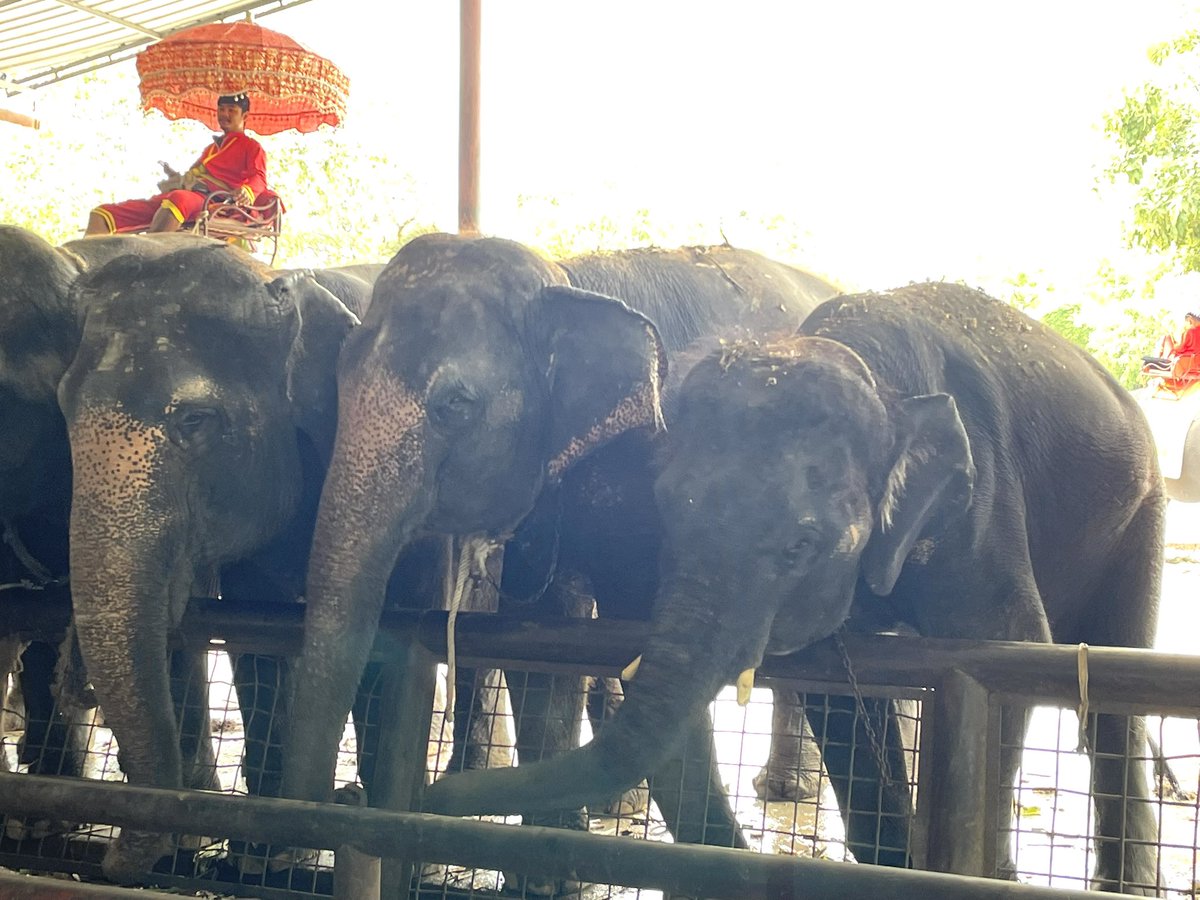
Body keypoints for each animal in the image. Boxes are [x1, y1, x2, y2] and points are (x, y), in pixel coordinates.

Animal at [56, 242, 371, 883]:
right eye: (62, 413)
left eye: (194, 421)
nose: (112, 859)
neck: (275, 278)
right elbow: (259, 628)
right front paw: (256, 854)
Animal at [422, 281, 1165, 895]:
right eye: (663, 512)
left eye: (801, 546)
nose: (428, 798)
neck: (868, 369)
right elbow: (836, 694)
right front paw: (892, 862)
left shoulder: (978, 510)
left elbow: (1008, 648)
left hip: (1144, 508)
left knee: (1114, 696)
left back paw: (1124, 884)